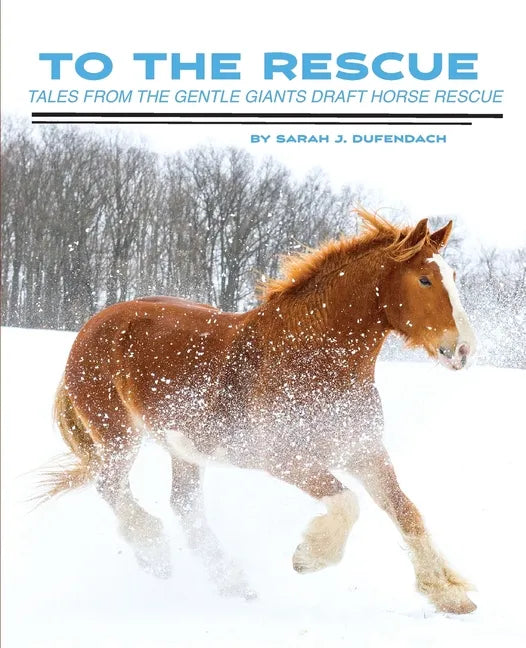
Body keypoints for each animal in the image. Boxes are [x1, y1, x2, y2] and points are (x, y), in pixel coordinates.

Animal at [43, 209, 477, 614]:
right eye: (424, 279)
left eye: (454, 275)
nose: (463, 349)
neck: (314, 356)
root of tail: (94, 324)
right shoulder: (282, 456)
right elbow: (346, 503)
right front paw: (309, 557)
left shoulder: (364, 451)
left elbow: (407, 512)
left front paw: (449, 595)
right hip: (118, 435)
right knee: (111, 486)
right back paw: (157, 555)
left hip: (183, 448)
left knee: (184, 506)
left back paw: (232, 581)